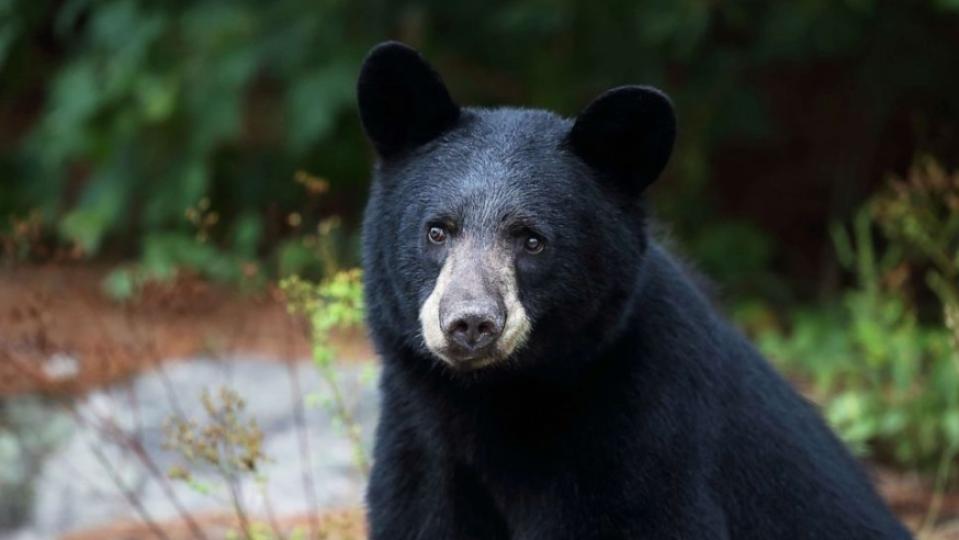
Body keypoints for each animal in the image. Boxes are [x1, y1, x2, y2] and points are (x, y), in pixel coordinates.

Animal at [358, 42, 908, 540]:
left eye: (533, 241)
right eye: (437, 231)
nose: (471, 323)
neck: (493, 402)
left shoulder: (641, 441)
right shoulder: (422, 454)